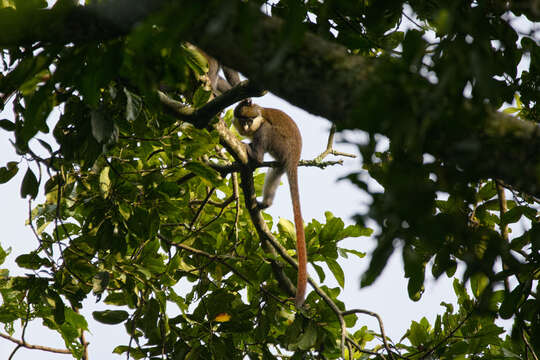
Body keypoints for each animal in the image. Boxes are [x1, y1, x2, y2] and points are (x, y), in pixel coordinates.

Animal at [233, 99, 306, 306]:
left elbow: (263, 127)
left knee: (265, 131)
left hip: (280, 142)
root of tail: (295, 156)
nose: (246, 127)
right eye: (243, 121)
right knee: (277, 171)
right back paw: (266, 203)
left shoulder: (260, 125)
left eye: (250, 120)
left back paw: (253, 153)